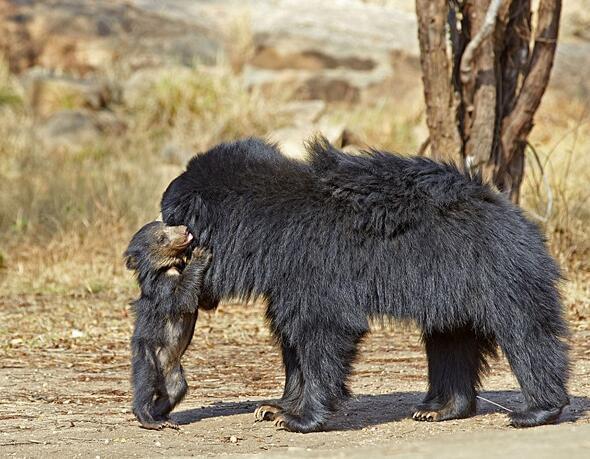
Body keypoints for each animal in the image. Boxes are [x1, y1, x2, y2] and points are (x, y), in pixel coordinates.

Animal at [160, 137, 572, 434]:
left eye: (171, 223)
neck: (262, 228)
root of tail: (510, 210)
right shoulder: (284, 280)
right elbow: (292, 339)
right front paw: (273, 408)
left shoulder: (312, 266)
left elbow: (323, 329)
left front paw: (299, 420)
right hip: (451, 290)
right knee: (449, 340)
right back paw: (437, 410)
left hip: (499, 272)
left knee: (525, 333)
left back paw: (535, 411)